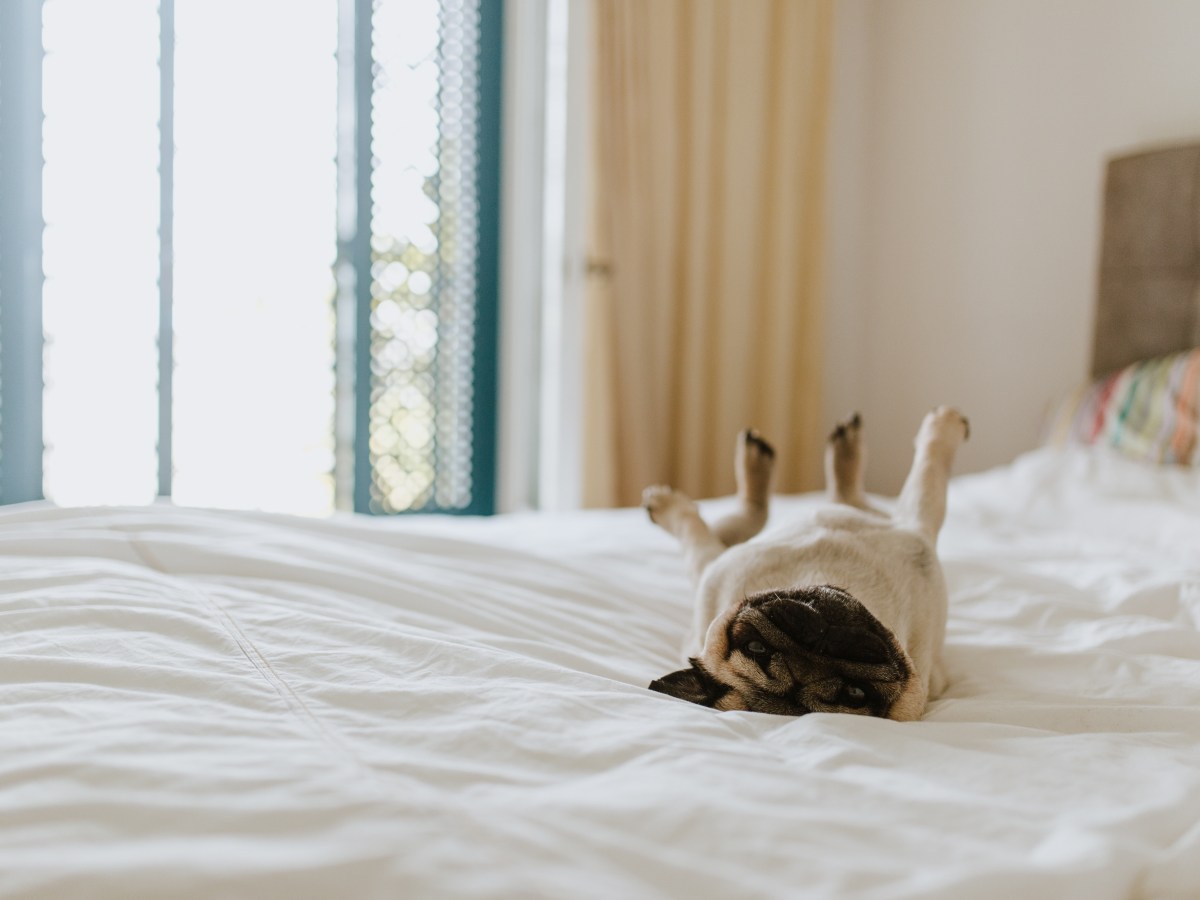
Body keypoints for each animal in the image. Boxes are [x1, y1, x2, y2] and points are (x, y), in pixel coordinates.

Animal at [643, 405, 969, 724]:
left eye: (756, 648)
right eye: (856, 693)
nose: (818, 646)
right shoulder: (916, 525)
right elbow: (929, 472)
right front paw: (944, 427)